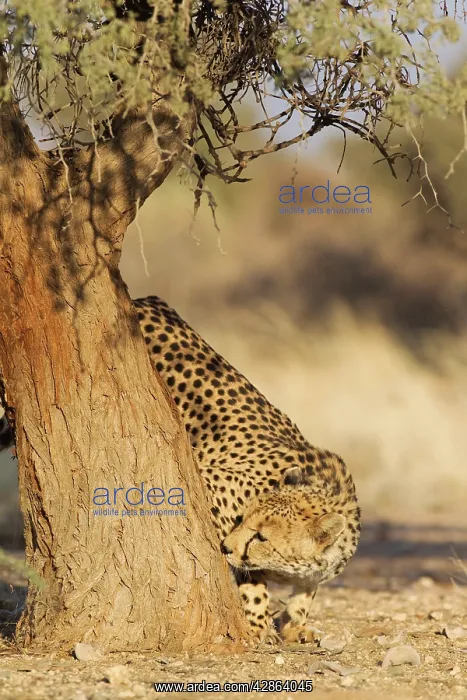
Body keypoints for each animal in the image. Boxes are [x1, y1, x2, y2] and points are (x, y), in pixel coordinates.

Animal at [0, 295, 361, 644]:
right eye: (244, 521)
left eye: (262, 536)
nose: (225, 548)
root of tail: (144, 301)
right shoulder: (212, 484)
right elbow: (254, 581)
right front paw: (260, 625)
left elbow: (306, 595)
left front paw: (296, 624)